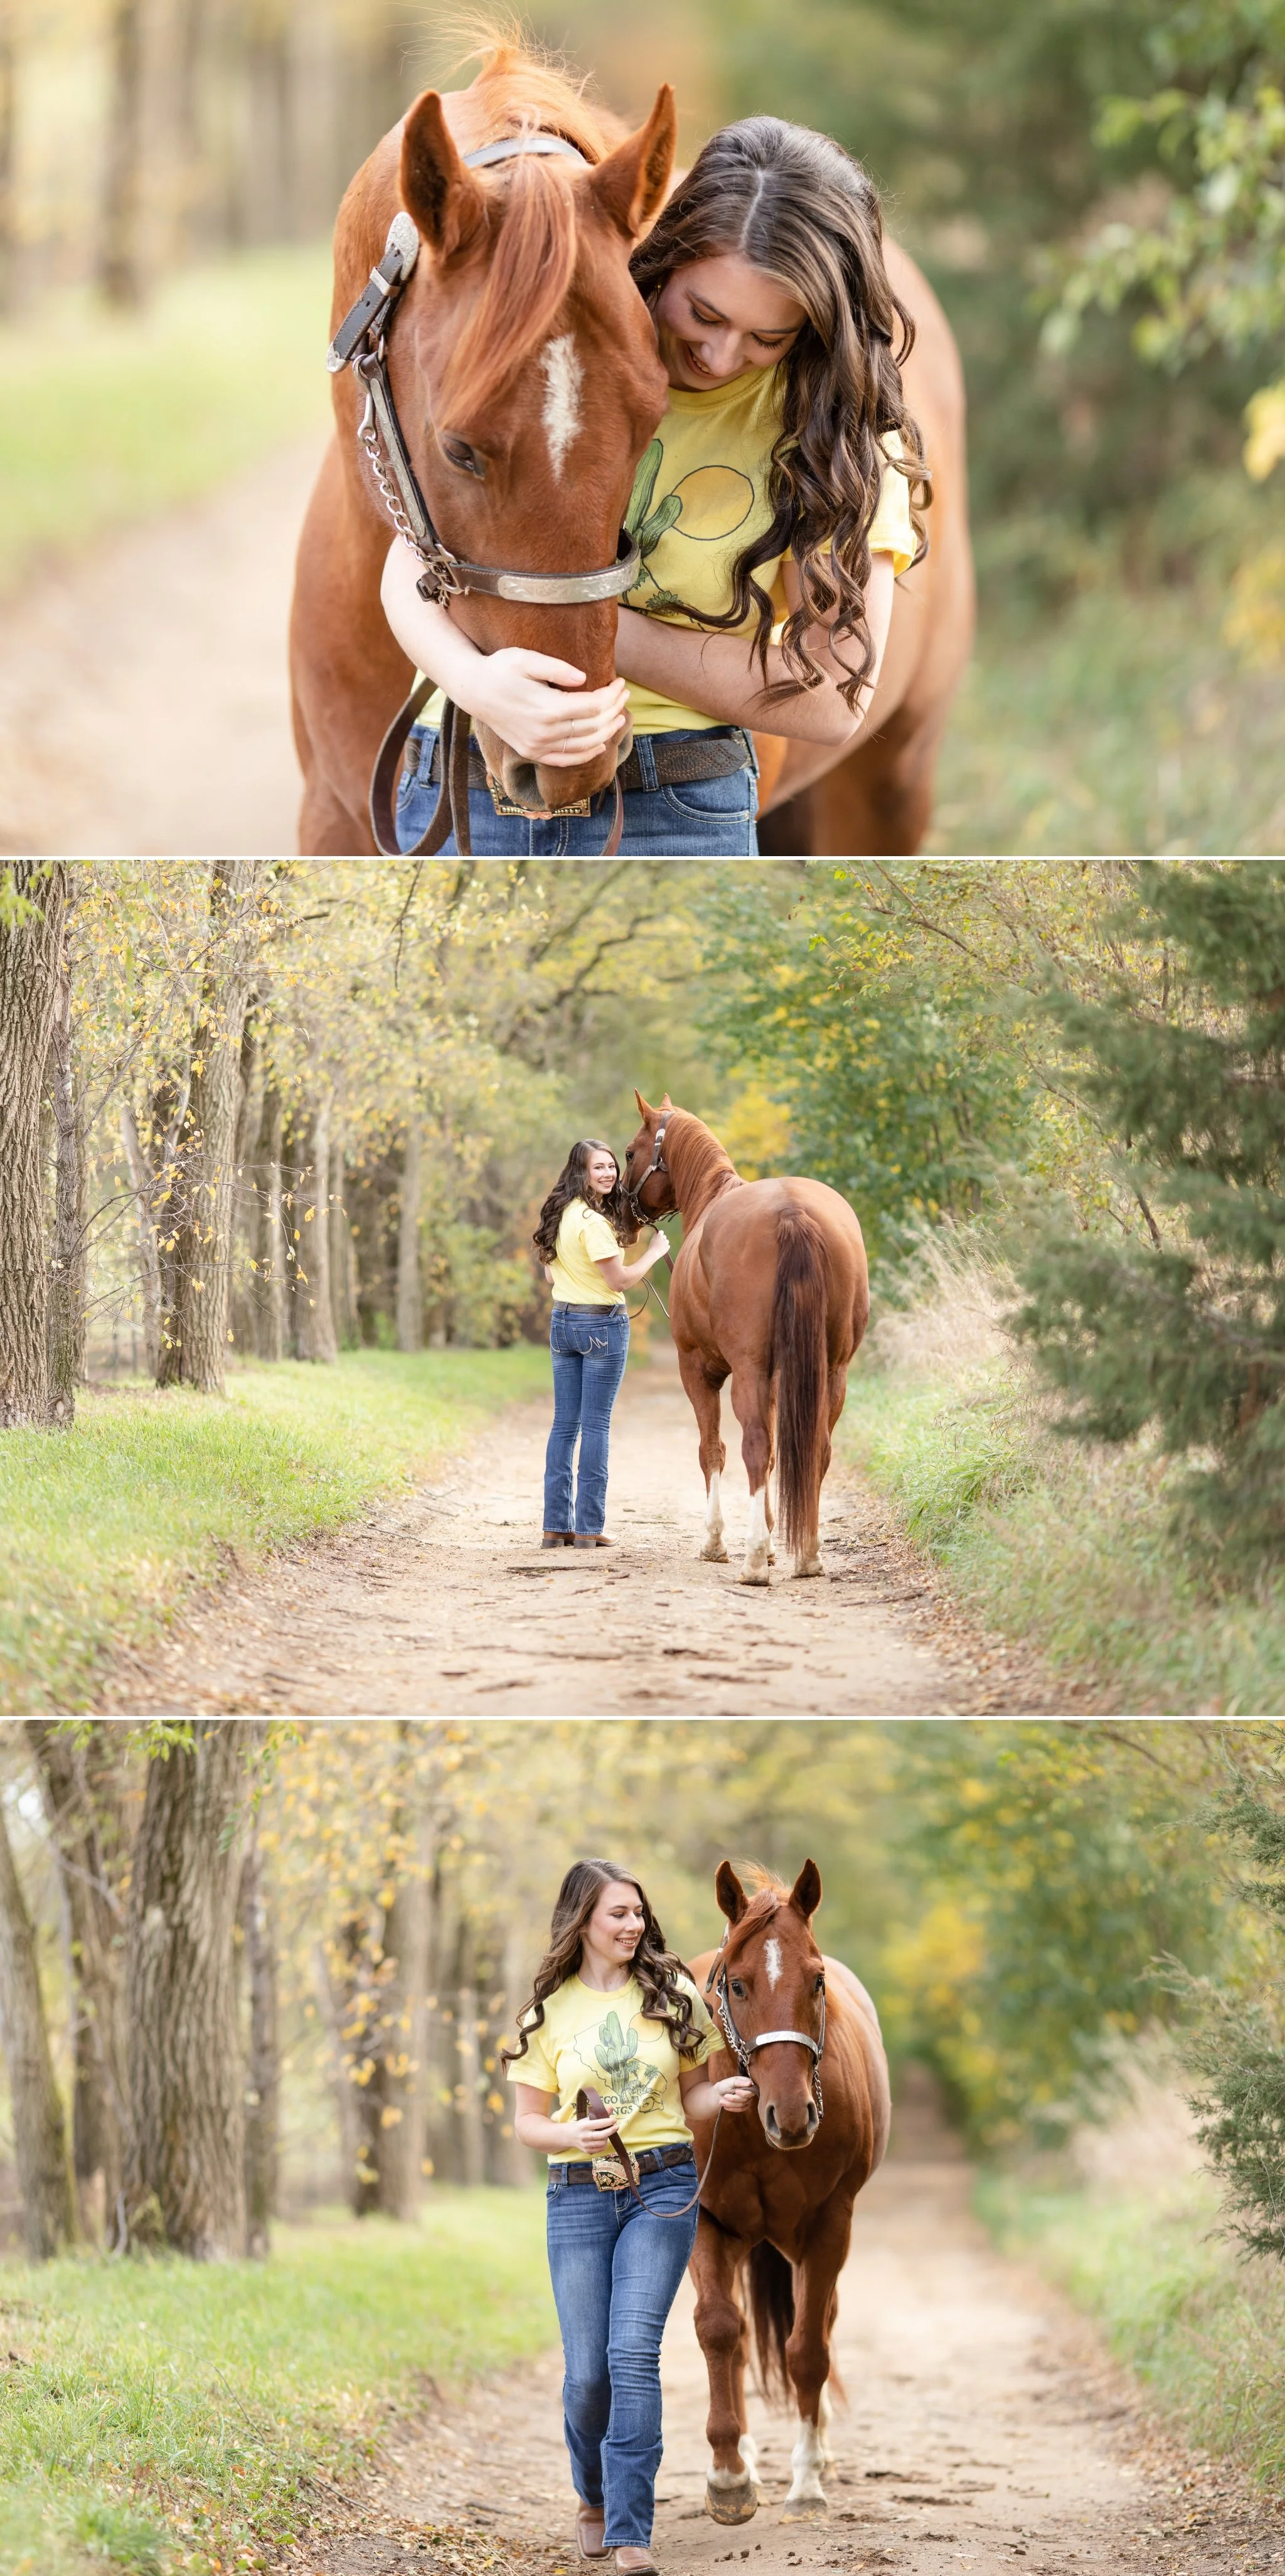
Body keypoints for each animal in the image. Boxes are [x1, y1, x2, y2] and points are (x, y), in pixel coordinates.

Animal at [622, 1092, 869, 1584]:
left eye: (629, 1153)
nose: (617, 1214)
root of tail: (792, 1210)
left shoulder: (699, 1370)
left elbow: (712, 1451)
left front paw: (717, 1543)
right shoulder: (778, 1377)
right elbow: (775, 1455)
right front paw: (774, 1544)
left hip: (749, 1371)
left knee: (752, 1446)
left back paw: (753, 1561)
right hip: (833, 1371)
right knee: (816, 1449)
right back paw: (807, 1554)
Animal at [686, 1859, 891, 2523]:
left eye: (817, 1981)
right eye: (738, 1986)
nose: (794, 2115)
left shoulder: (829, 2225)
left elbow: (808, 2350)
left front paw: (806, 2481)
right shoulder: (705, 2221)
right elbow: (719, 2331)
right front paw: (728, 2476)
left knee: (817, 2325)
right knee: (741, 2340)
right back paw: (747, 2459)